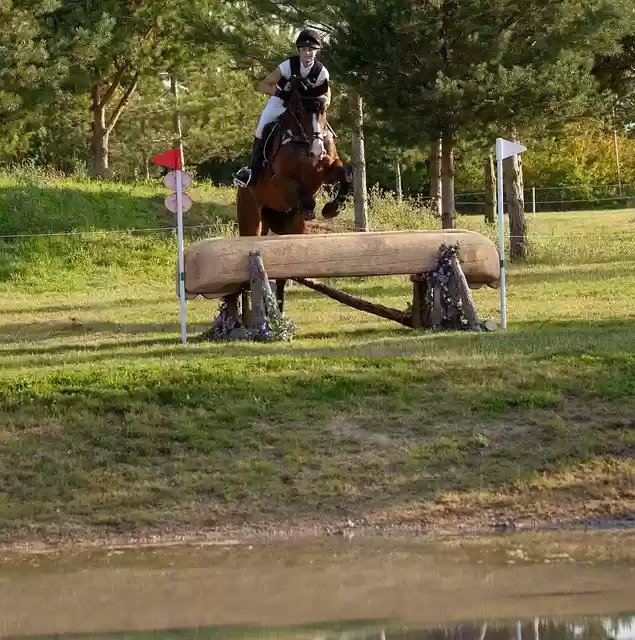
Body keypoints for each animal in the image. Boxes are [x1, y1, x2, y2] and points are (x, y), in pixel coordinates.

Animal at [226, 79, 353, 321]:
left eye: (324, 109)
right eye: (301, 109)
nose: (316, 151)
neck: (303, 139)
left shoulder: (329, 170)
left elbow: (347, 174)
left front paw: (332, 208)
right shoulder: (281, 180)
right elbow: (299, 190)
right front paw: (311, 207)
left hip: (292, 230)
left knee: (282, 276)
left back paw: (278, 312)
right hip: (251, 219)